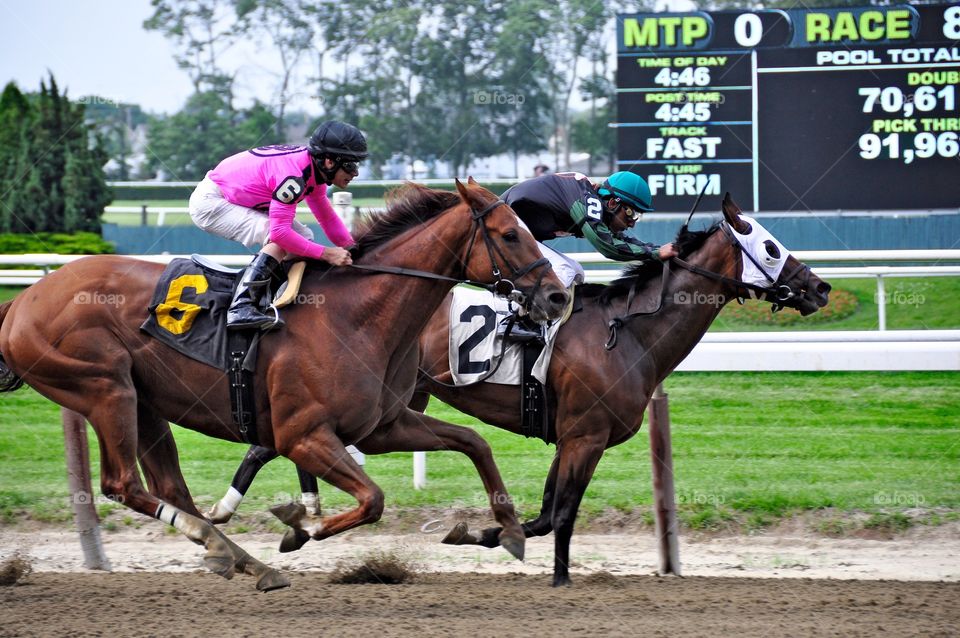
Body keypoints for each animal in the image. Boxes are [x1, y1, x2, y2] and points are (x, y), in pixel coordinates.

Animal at [0, 179, 568, 592]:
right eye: (511, 234)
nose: (559, 296)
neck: (358, 315)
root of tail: (23, 300)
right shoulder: (304, 435)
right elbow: (373, 499)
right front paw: (301, 527)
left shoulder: (382, 426)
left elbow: (474, 442)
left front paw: (506, 529)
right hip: (105, 387)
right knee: (123, 484)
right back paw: (232, 552)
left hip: (145, 403)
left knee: (170, 488)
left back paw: (241, 560)